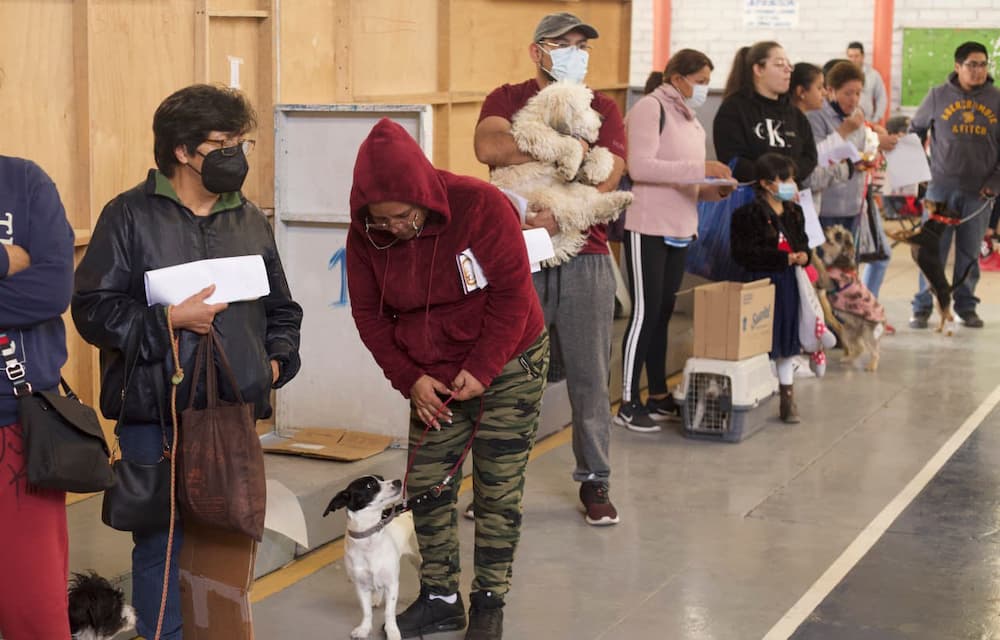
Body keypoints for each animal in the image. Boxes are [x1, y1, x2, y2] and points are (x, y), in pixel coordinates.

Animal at [326, 476, 420, 640]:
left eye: (381, 478)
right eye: (370, 485)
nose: (397, 481)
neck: (369, 537)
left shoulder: (392, 584)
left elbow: (389, 612)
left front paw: (392, 631)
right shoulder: (361, 586)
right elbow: (366, 612)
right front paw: (364, 629)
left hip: (417, 558)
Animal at [492, 80, 632, 264]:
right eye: (586, 107)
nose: (602, 117)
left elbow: (600, 152)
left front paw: (596, 170)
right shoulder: (532, 133)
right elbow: (569, 143)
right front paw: (570, 165)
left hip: (576, 191)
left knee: (590, 207)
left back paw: (621, 199)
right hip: (550, 199)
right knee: (581, 212)